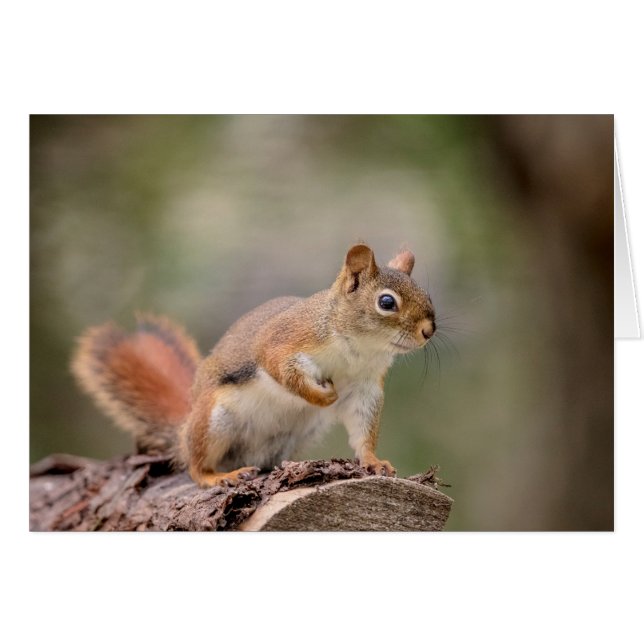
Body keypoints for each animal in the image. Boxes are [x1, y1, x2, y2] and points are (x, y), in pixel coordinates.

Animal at [71, 243, 436, 487]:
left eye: (427, 296)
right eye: (386, 302)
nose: (429, 330)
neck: (359, 349)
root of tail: (184, 427)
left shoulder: (364, 387)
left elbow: (363, 429)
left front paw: (374, 462)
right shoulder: (284, 340)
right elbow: (281, 369)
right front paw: (321, 396)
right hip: (213, 420)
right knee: (195, 465)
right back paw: (217, 476)